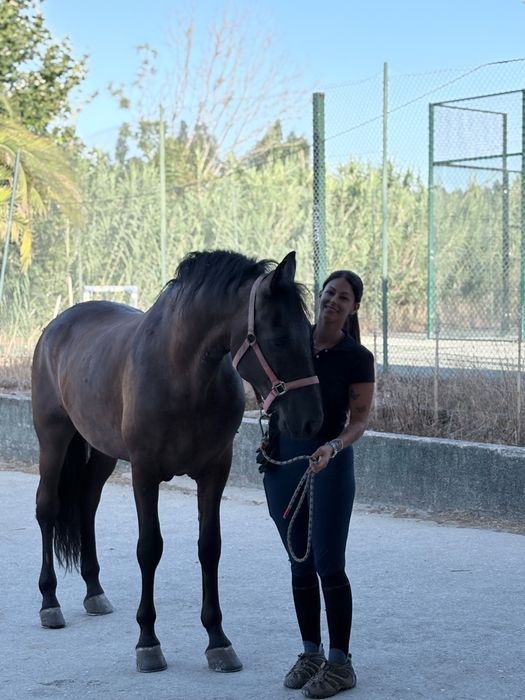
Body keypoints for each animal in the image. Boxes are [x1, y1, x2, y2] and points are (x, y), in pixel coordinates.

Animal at [32, 249, 323, 673]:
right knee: (48, 509)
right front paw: (148, 642)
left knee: (86, 505)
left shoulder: (215, 471)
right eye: (280, 338)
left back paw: (94, 591)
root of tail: (56, 326)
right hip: (53, 440)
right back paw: (49, 602)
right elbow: (149, 548)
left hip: (102, 452)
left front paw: (218, 641)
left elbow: (209, 547)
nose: (312, 420)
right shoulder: (144, 472)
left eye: (310, 335)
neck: (182, 375)